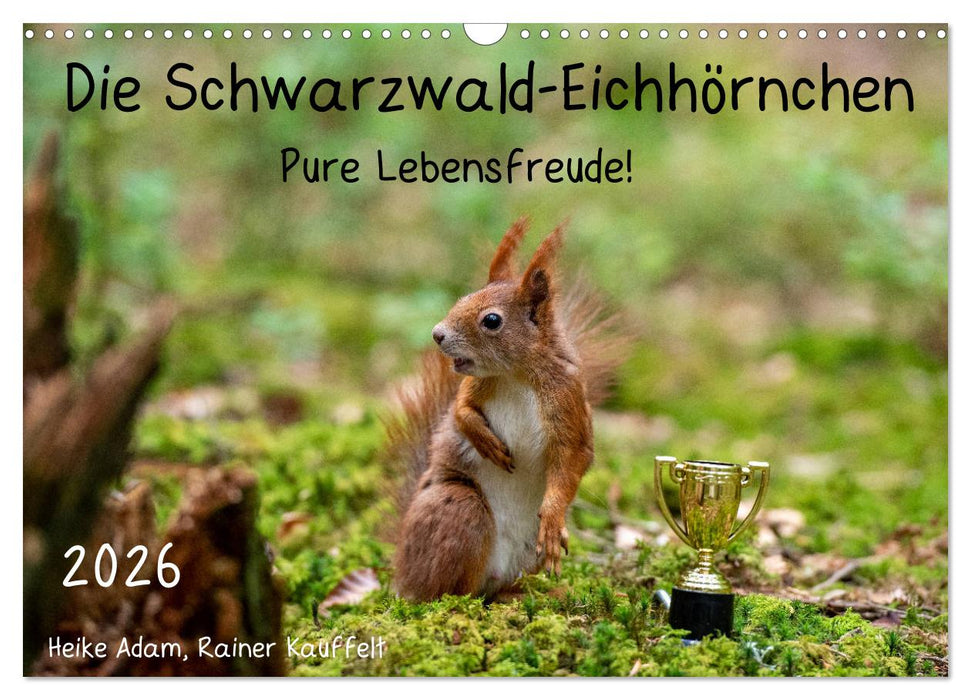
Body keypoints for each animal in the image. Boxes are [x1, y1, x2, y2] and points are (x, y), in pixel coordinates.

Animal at [388, 218, 625, 601]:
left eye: (492, 321)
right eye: (463, 298)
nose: (437, 334)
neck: (517, 375)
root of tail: (402, 570)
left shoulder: (567, 400)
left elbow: (572, 459)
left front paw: (554, 518)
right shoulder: (476, 385)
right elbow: (460, 410)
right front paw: (485, 441)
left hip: (520, 547)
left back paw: (524, 593)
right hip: (461, 509)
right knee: (447, 591)